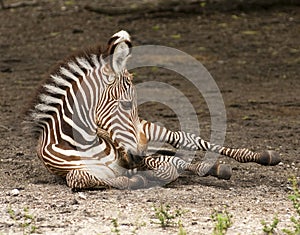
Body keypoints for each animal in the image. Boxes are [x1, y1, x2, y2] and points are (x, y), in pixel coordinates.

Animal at [26, 30, 282, 190]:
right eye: (126, 104)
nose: (137, 155)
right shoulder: (89, 169)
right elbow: (79, 177)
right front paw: (136, 179)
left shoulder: (133, 154)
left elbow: (167, 167)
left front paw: (144, 177)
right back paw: (214, 168)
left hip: (148, 130)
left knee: (185, 139)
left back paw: (261, 156)